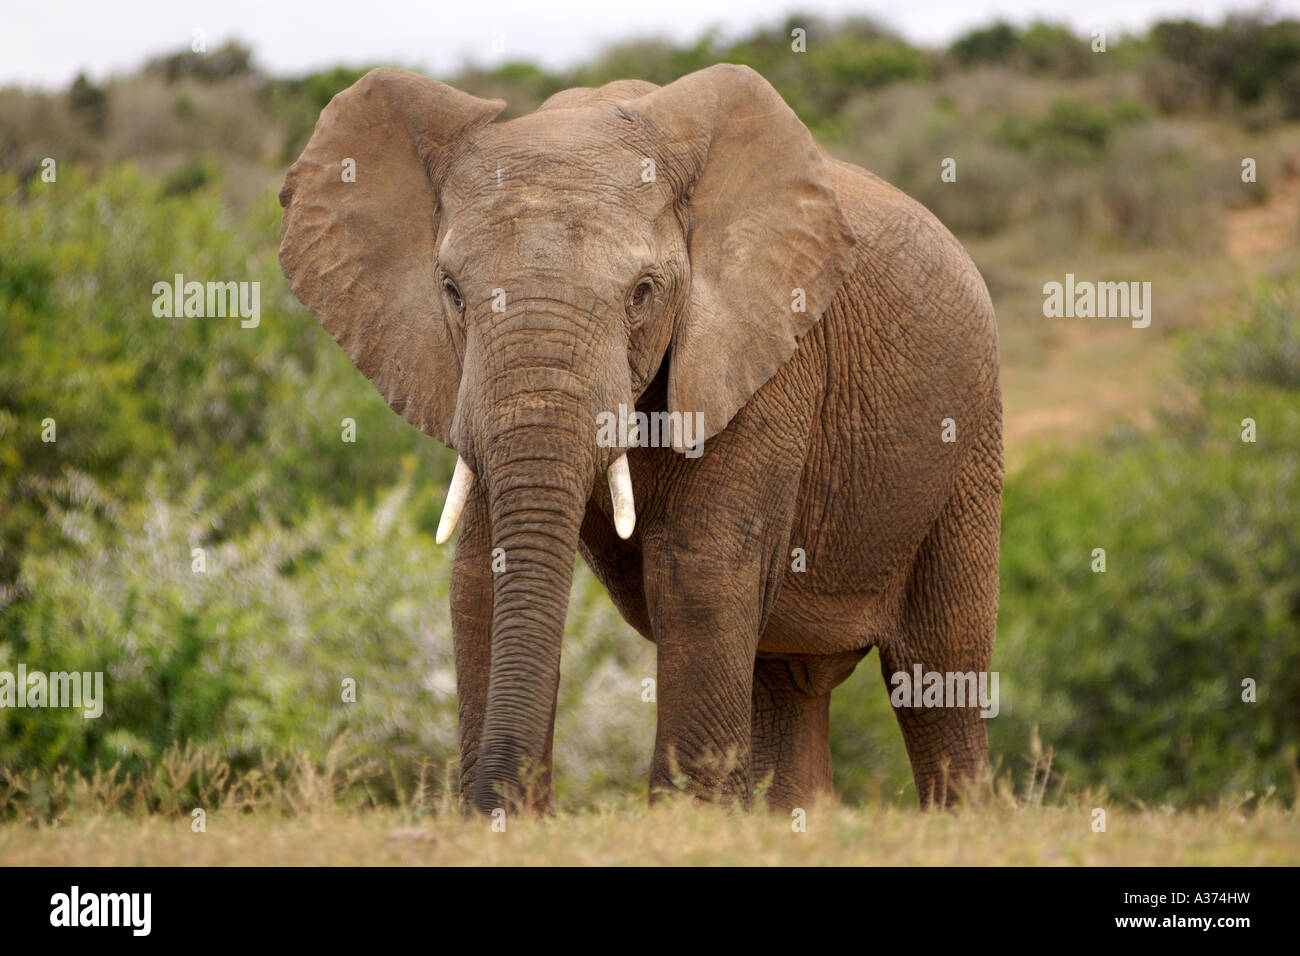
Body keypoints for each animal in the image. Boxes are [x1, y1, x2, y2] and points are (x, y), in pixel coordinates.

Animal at [278, 63, 1002, 814]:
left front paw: (687, 819)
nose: (512, 804)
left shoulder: (771, 350)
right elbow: (479, 574)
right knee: (788, 679)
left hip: (972, 429)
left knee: (937, 669)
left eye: (642, 293)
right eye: (451, 291)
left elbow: (699, 570)